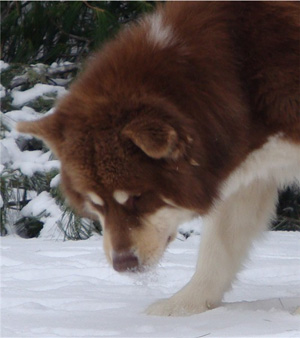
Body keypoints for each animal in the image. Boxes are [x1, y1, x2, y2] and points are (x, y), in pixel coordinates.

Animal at [17, 1, 298, 316]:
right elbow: (219, 247)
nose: (123, 264)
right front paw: (186, 305)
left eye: (139, 197)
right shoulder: (250, 173)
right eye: (96, 205)